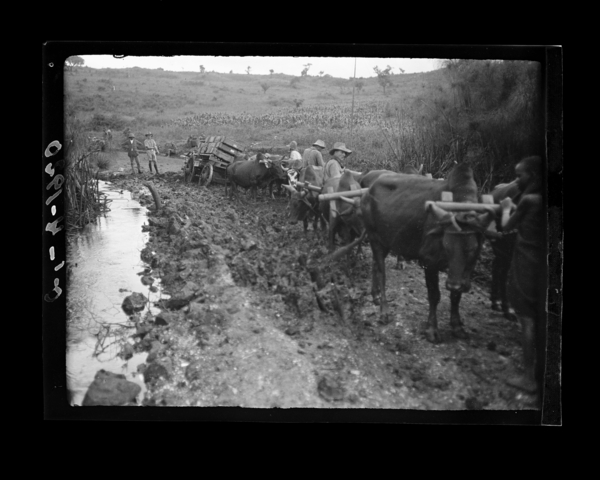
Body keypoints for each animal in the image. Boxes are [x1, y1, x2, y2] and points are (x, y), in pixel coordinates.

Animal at [360, 163, 495, 343]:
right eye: (446, 245)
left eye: (472, 248)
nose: (452, 284)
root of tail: (368, 191)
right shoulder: (429, 261)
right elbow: (434, 295)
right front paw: (432, 329)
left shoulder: (467, 268)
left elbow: (456, 296)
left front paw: (457, 327)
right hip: (374, 238)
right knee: (382, 273)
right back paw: (384, 312)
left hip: (386, 240)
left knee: (375, 264)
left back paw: (375, 296)